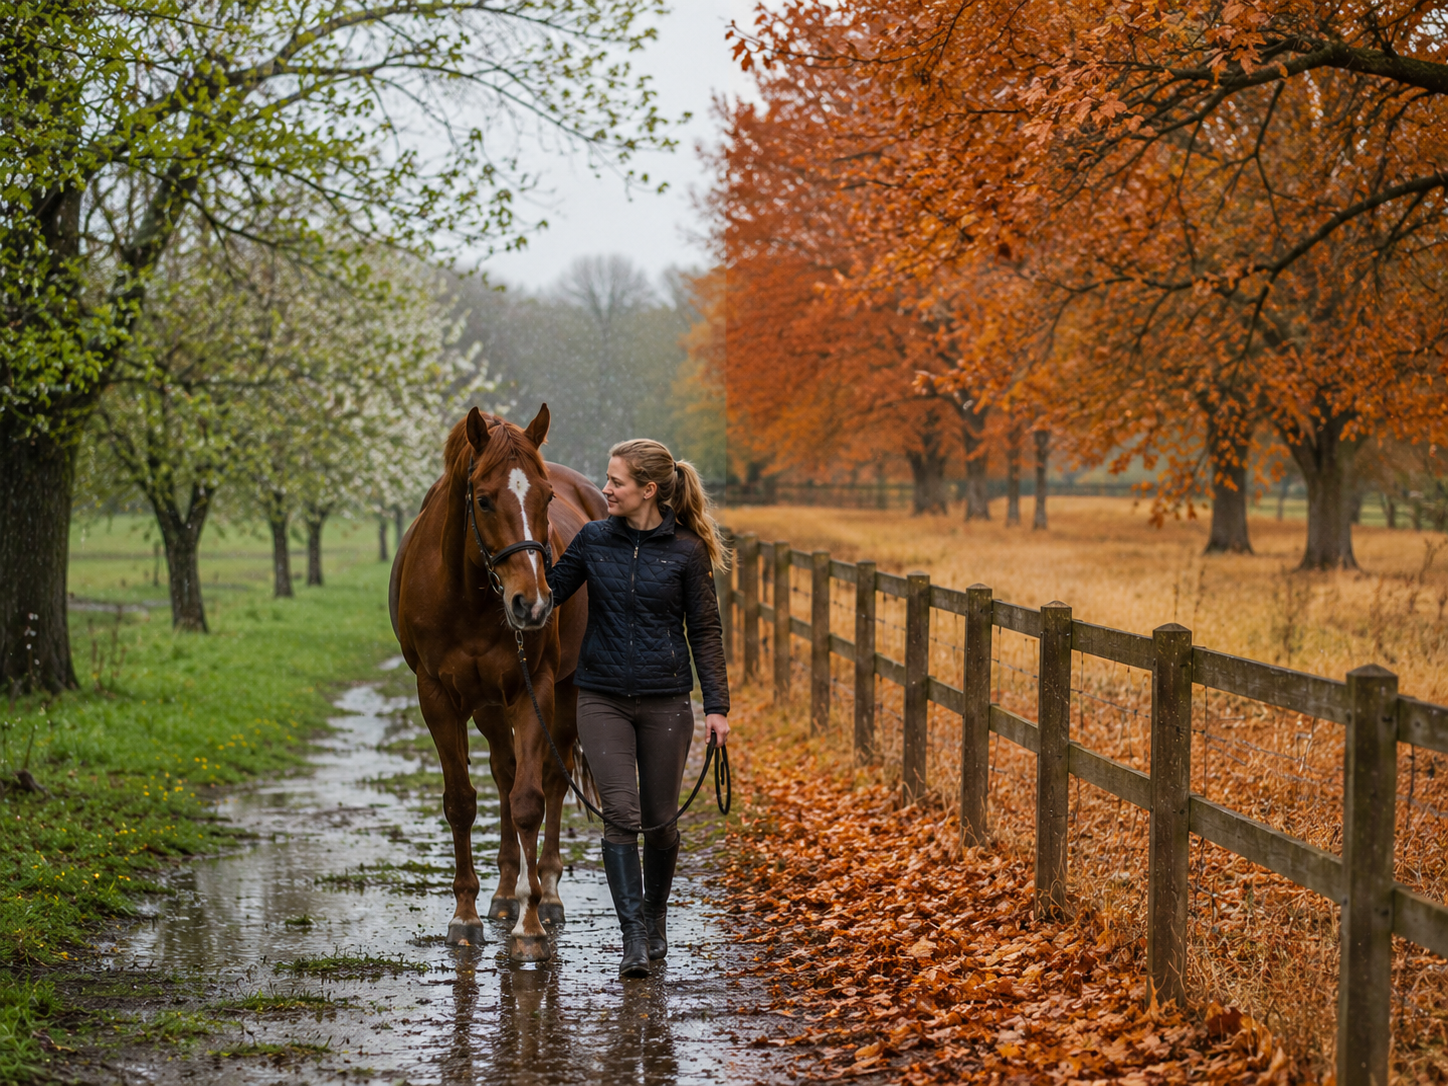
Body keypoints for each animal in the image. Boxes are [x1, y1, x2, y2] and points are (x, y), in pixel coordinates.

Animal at [389, 404, 607, 960]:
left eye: (546, 497)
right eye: (484, 499)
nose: (532, 604)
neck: (468, 595)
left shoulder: (536, 689)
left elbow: (529, 802)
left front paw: (530, 928)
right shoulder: (436, 697)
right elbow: (462, 802)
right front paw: (465, 915)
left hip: (562, 696)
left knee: (549, 781)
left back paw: (546, 892)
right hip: (489, 706)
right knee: (504, 773)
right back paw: (507, 892)